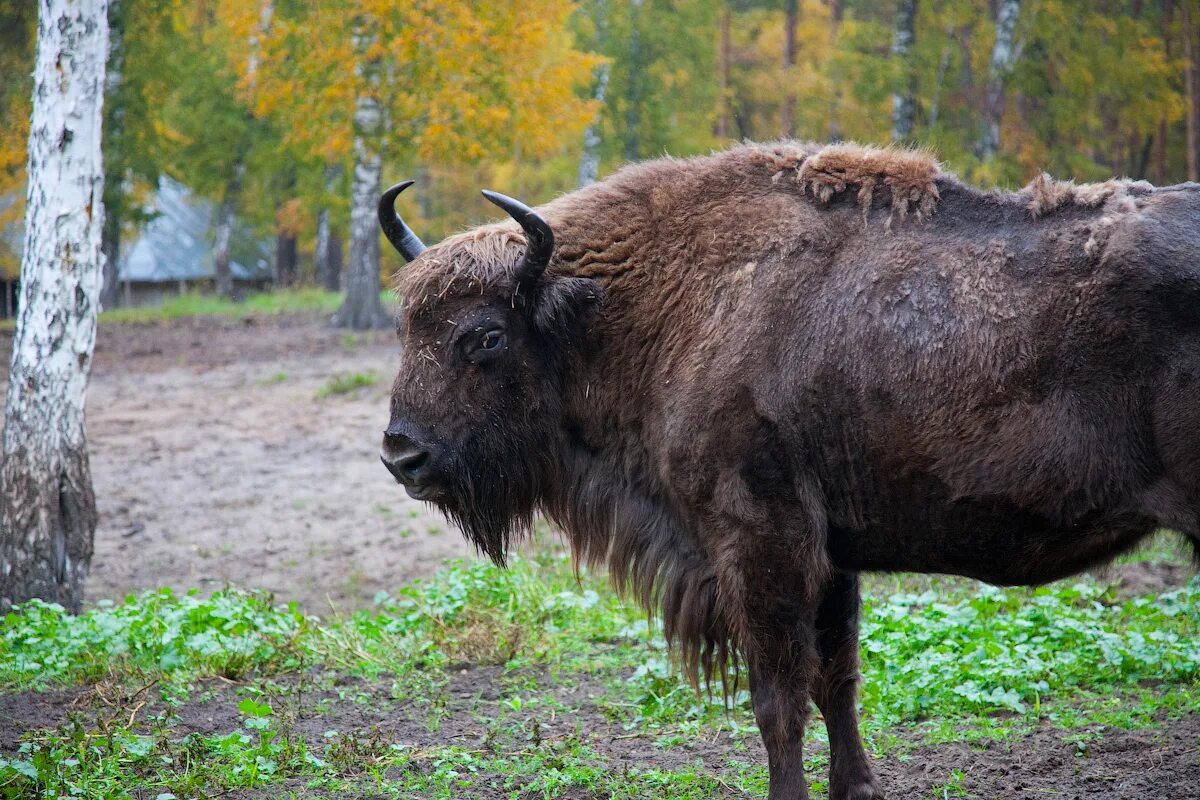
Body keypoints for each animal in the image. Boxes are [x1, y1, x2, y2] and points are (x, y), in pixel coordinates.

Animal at [376, 143, 1200, 800]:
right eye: (406, 325)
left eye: (484, 336)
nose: (401, 455)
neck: (657, 305)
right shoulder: (832, 558)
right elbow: (837, 680)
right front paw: (856, 788)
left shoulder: (762, 544)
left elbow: (779, 697)